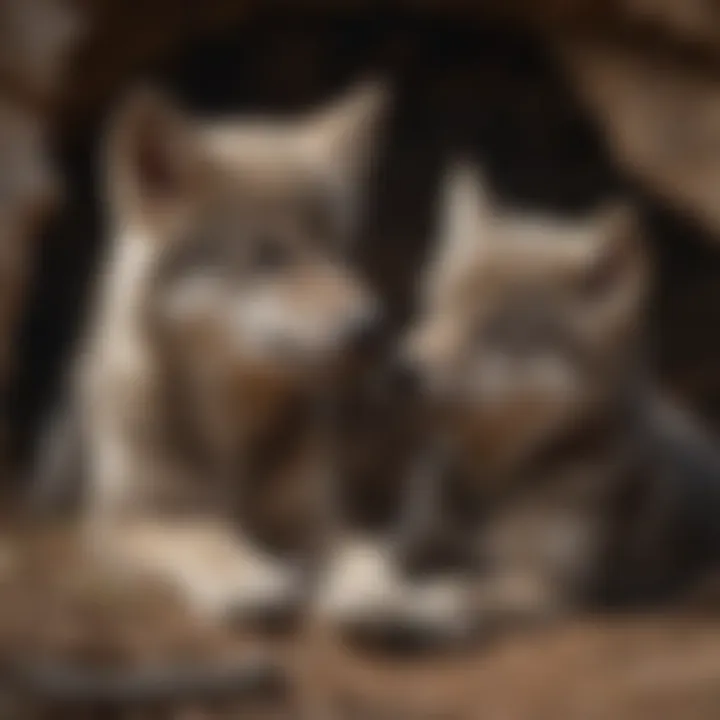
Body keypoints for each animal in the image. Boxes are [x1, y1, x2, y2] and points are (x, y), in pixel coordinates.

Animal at [36, 79, 388, 623]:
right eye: (268, 255)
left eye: (339, 250)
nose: (371, 327)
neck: (230, 439)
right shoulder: (125, 520)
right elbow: (203, 532)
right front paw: (249, 576)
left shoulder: (310, 517)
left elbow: (359, 547)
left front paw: (382, 591)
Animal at [318, 162, 720, 649]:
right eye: (434, 307)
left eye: (496, 329)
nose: (401, 371)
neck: (489, 490)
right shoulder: (413, 540)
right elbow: (369, 557)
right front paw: (358, 591)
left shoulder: (541, 587)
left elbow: (454, 593)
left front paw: (403, 612)